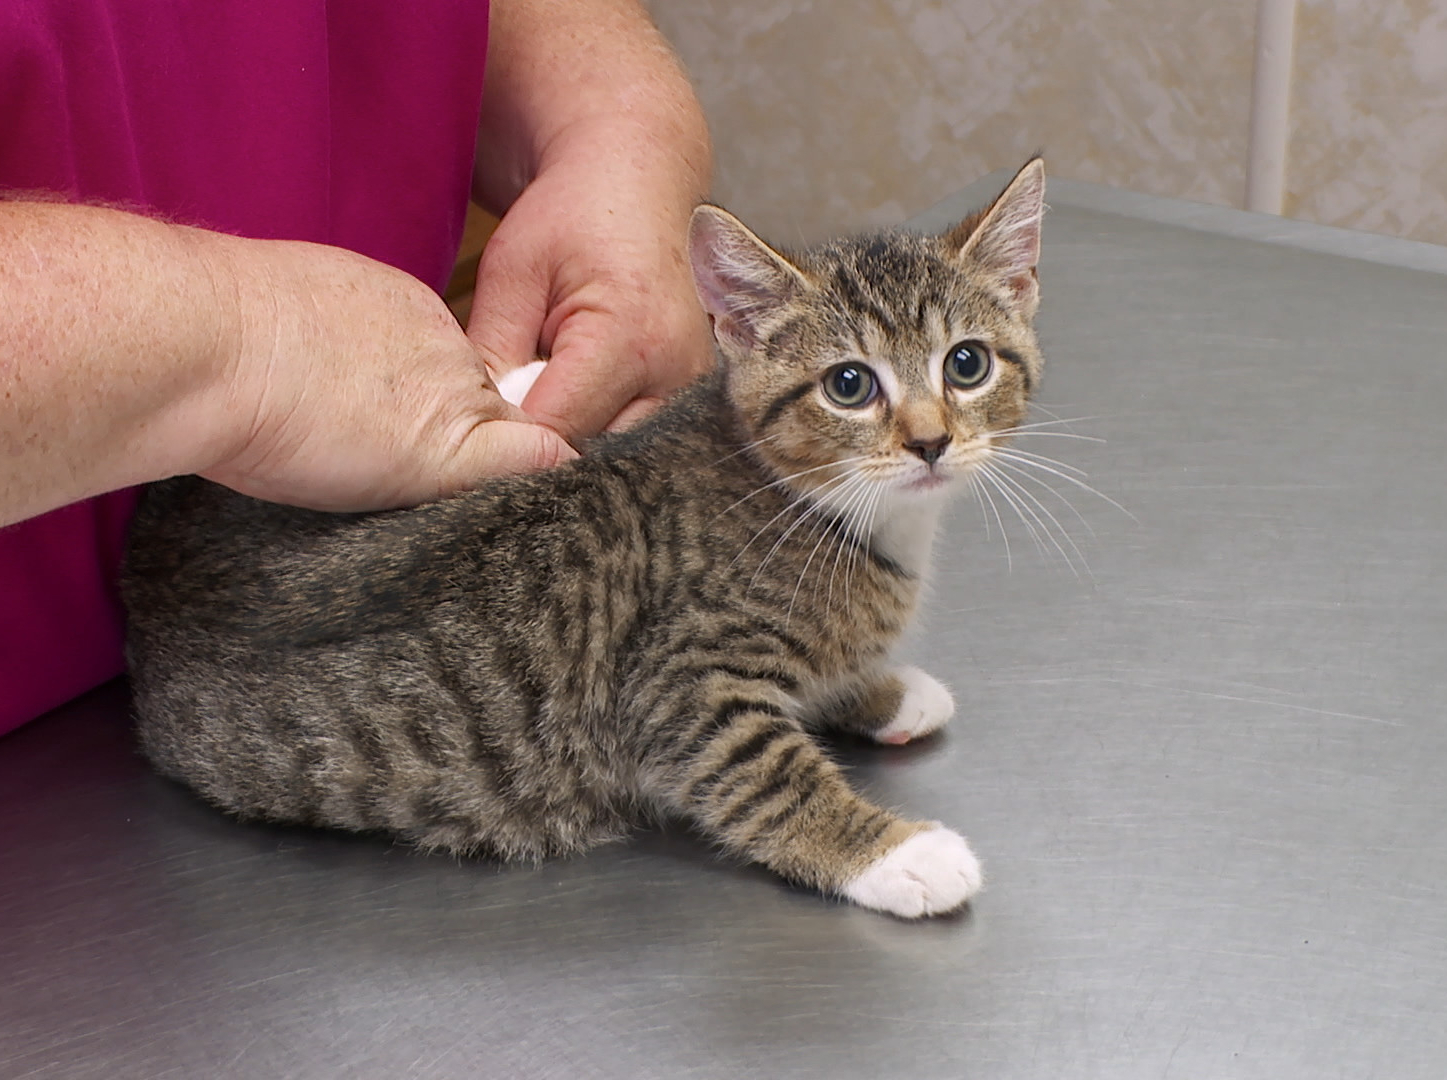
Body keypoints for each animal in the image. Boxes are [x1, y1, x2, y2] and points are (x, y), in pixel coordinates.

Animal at [121, 159, 1047, 919]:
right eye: (849, 384)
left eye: (966, 365)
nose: (929, 442)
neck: (836, 511)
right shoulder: (676, 680)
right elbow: (760, 773)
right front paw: (901, 856)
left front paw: (881, 691)